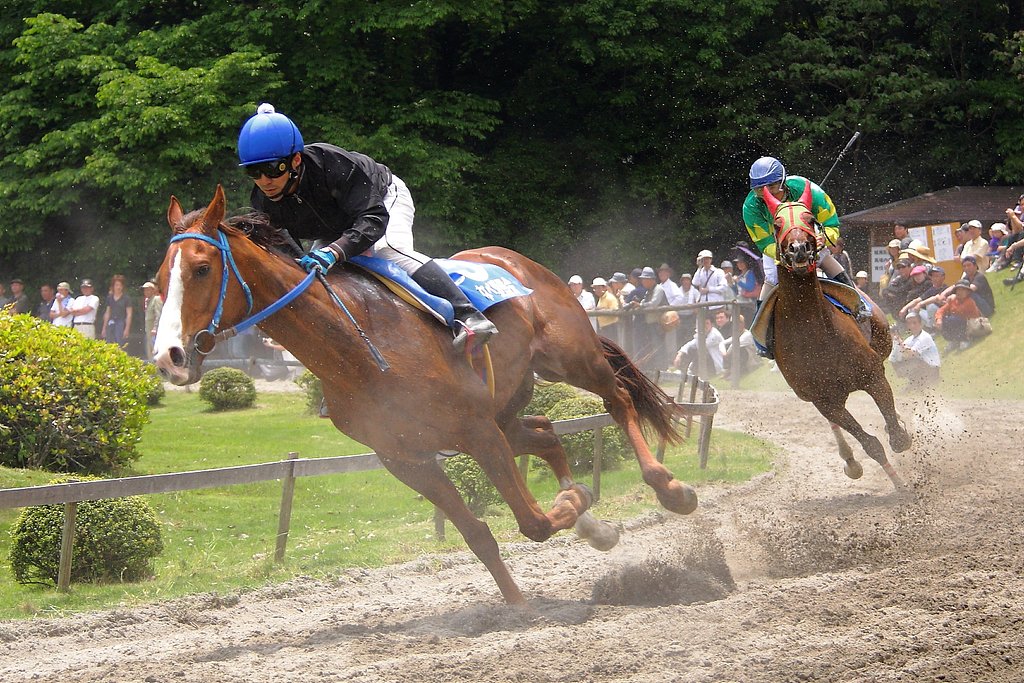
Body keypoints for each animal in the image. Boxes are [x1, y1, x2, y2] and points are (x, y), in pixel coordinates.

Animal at [153, 185, 698, 604]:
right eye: (160, 278)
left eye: (201, 268)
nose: (169, 356)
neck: (358, 344)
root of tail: (515, 259)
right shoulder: (405, 456)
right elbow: (479, 533)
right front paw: (520, 604)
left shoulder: (475, 431)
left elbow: (534, 522)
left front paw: (575, 502)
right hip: (507, 408)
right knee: (544, 432)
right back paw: (594, 522)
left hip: (570, 359)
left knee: (618, 399)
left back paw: (669, 488)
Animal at [760, 181, 911, 487]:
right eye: (777, 224)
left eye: (809, 219)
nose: (799, 249)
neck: (814, 332)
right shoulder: (823, 400)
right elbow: (871, 444)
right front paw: (900, 486)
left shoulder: (872, 374)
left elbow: (894, 431)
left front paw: (901, 435)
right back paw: (850, 461)